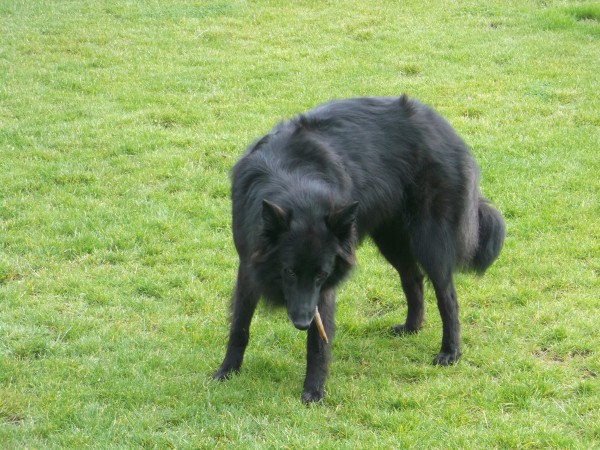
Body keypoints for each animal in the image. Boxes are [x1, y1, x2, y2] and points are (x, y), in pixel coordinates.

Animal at [213, 96, 504, 404]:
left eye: (320, 275)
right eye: (289, 272)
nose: (302, 322)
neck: (295, 185)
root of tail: (445, 128)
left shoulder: (323, 289)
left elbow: (318, 341)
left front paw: (313, 390)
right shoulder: (248, 266)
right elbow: (239, 326)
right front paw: (227, 371)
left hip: (430, 244)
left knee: (447, 296)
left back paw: (450, 351)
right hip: (391, 239)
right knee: (413, 278)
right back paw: (411, 327)